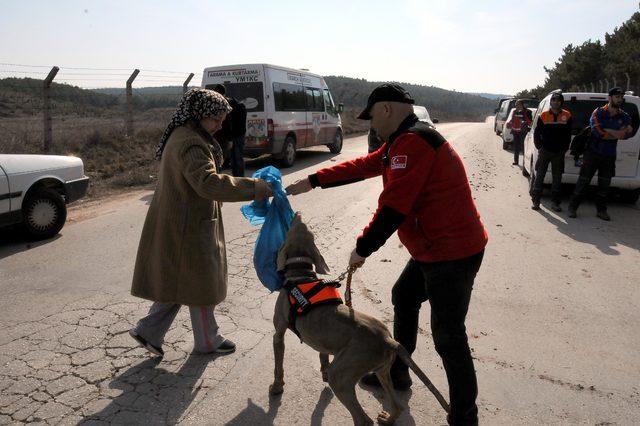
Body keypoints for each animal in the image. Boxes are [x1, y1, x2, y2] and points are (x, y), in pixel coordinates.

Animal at [268, 215, 448, 426]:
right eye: (305, 229)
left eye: (291, 228)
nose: (298, 214)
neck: (301, 275)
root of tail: (389, 340)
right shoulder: (322, 341)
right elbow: (323, 356)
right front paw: (322, 373)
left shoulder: (278, 334)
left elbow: (278, 365)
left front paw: (276, 388)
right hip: (382, 370)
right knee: (398, 406)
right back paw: (387, 418)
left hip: (342, 374)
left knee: (363, 419)